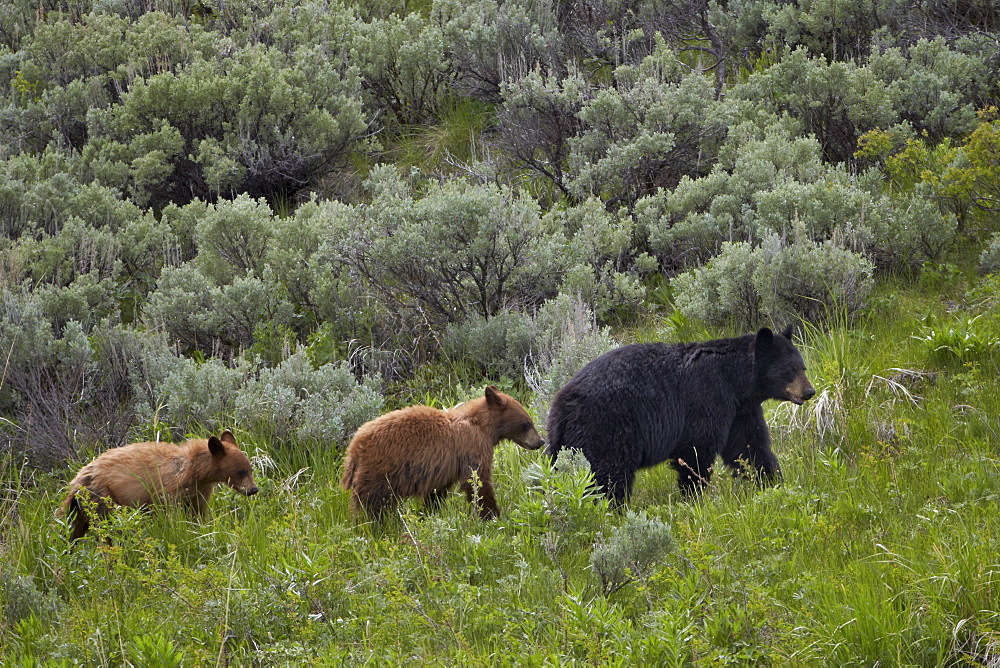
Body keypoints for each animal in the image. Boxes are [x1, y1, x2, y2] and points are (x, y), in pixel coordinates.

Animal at [548, 326, 812, 504]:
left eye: (803, 366)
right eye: (790, 369)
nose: (809, 391)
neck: (734, 381)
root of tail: (562, 406)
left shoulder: (740, 411)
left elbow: (748, 447)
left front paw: (771, 482)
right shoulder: (708, 399)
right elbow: (697, 450)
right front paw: (694, 496)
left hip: (567, 442)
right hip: (607, 429)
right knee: (608, 474)